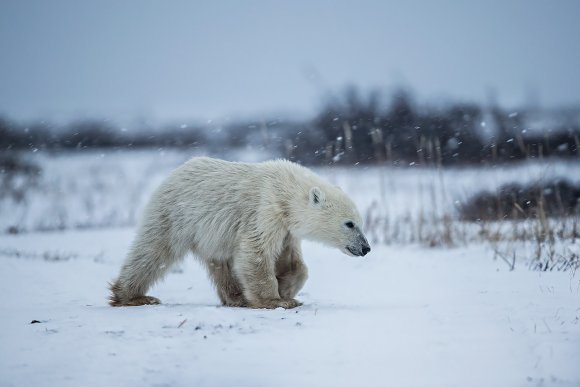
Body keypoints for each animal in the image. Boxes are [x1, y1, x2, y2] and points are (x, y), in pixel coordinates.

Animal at [109, 157, 372, 310]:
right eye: (350, 224)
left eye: (360, 222)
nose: (366, 248)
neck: (286, 190)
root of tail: (174, 172)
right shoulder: (265, 209)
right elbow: (256, 250)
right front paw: (276, 300)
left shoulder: (286, 227)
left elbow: (292, 263)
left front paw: (286, 289)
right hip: (175, 215)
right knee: (154, 251)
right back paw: (133, 297)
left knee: (221, 263)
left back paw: (237, 297)